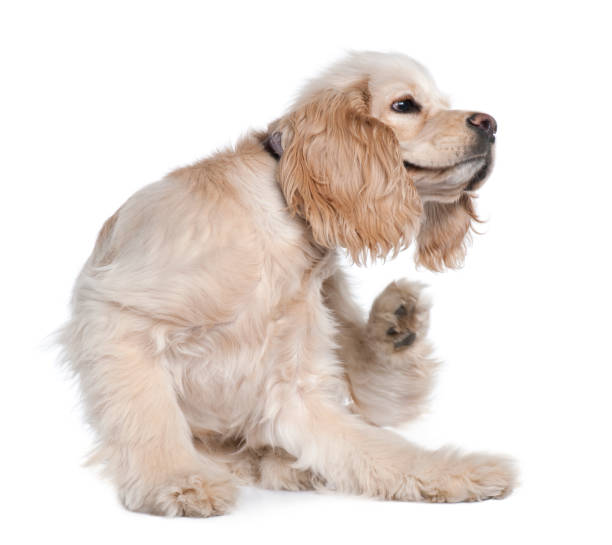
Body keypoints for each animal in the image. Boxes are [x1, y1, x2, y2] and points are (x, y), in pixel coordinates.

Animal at [61, 51, 512, 516]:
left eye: (444, 104)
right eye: (404, 105)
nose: (491, 123)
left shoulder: (294, 382)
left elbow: (382, 451)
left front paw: (460, 473)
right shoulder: (119, 313)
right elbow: (149, 415)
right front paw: (175, 481)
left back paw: (396, 325)